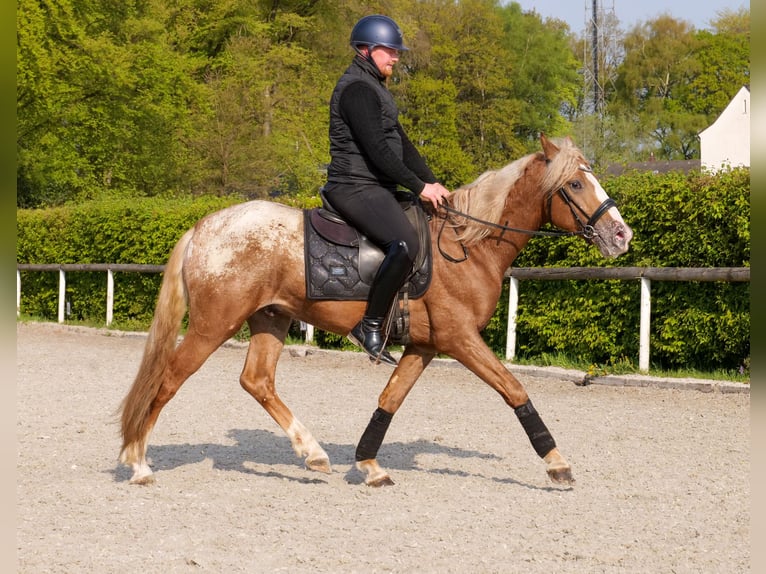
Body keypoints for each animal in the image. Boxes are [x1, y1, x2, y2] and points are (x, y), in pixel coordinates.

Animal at [118, 134, 633, 487]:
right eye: (574, 183)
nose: (622, 235)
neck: (467, 245)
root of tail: (204, 227)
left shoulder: (425, 346)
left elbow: (390, 400)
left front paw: (368, 464)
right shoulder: (461, 339)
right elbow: (513, 389)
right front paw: (557, 462)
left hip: (270, 318)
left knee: (257, 380)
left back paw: (313, 453)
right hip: (212, 325)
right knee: (168, 380)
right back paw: (138, 462)